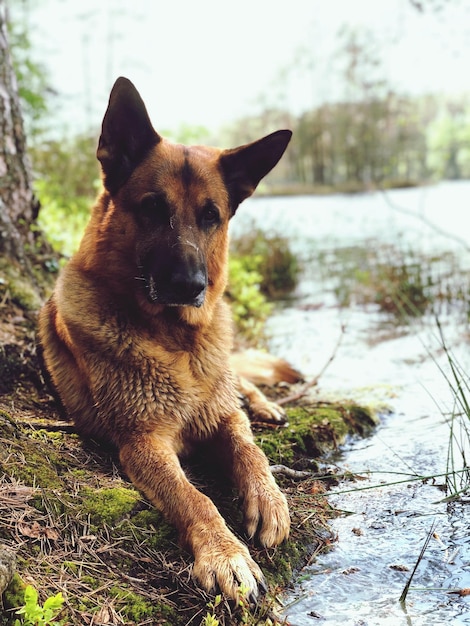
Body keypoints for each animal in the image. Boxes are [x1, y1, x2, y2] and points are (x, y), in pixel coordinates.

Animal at [38, 77, 292, 600]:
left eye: (211, 215)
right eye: (153, 207)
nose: (191, 286)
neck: (178, 342)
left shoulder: (223, 416)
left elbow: (249, 449)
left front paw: (269, 497)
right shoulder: (144, 443)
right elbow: (194, 497)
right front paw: (226, 553)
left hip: (230, 376)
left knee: (243, 386)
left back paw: (266, 404)